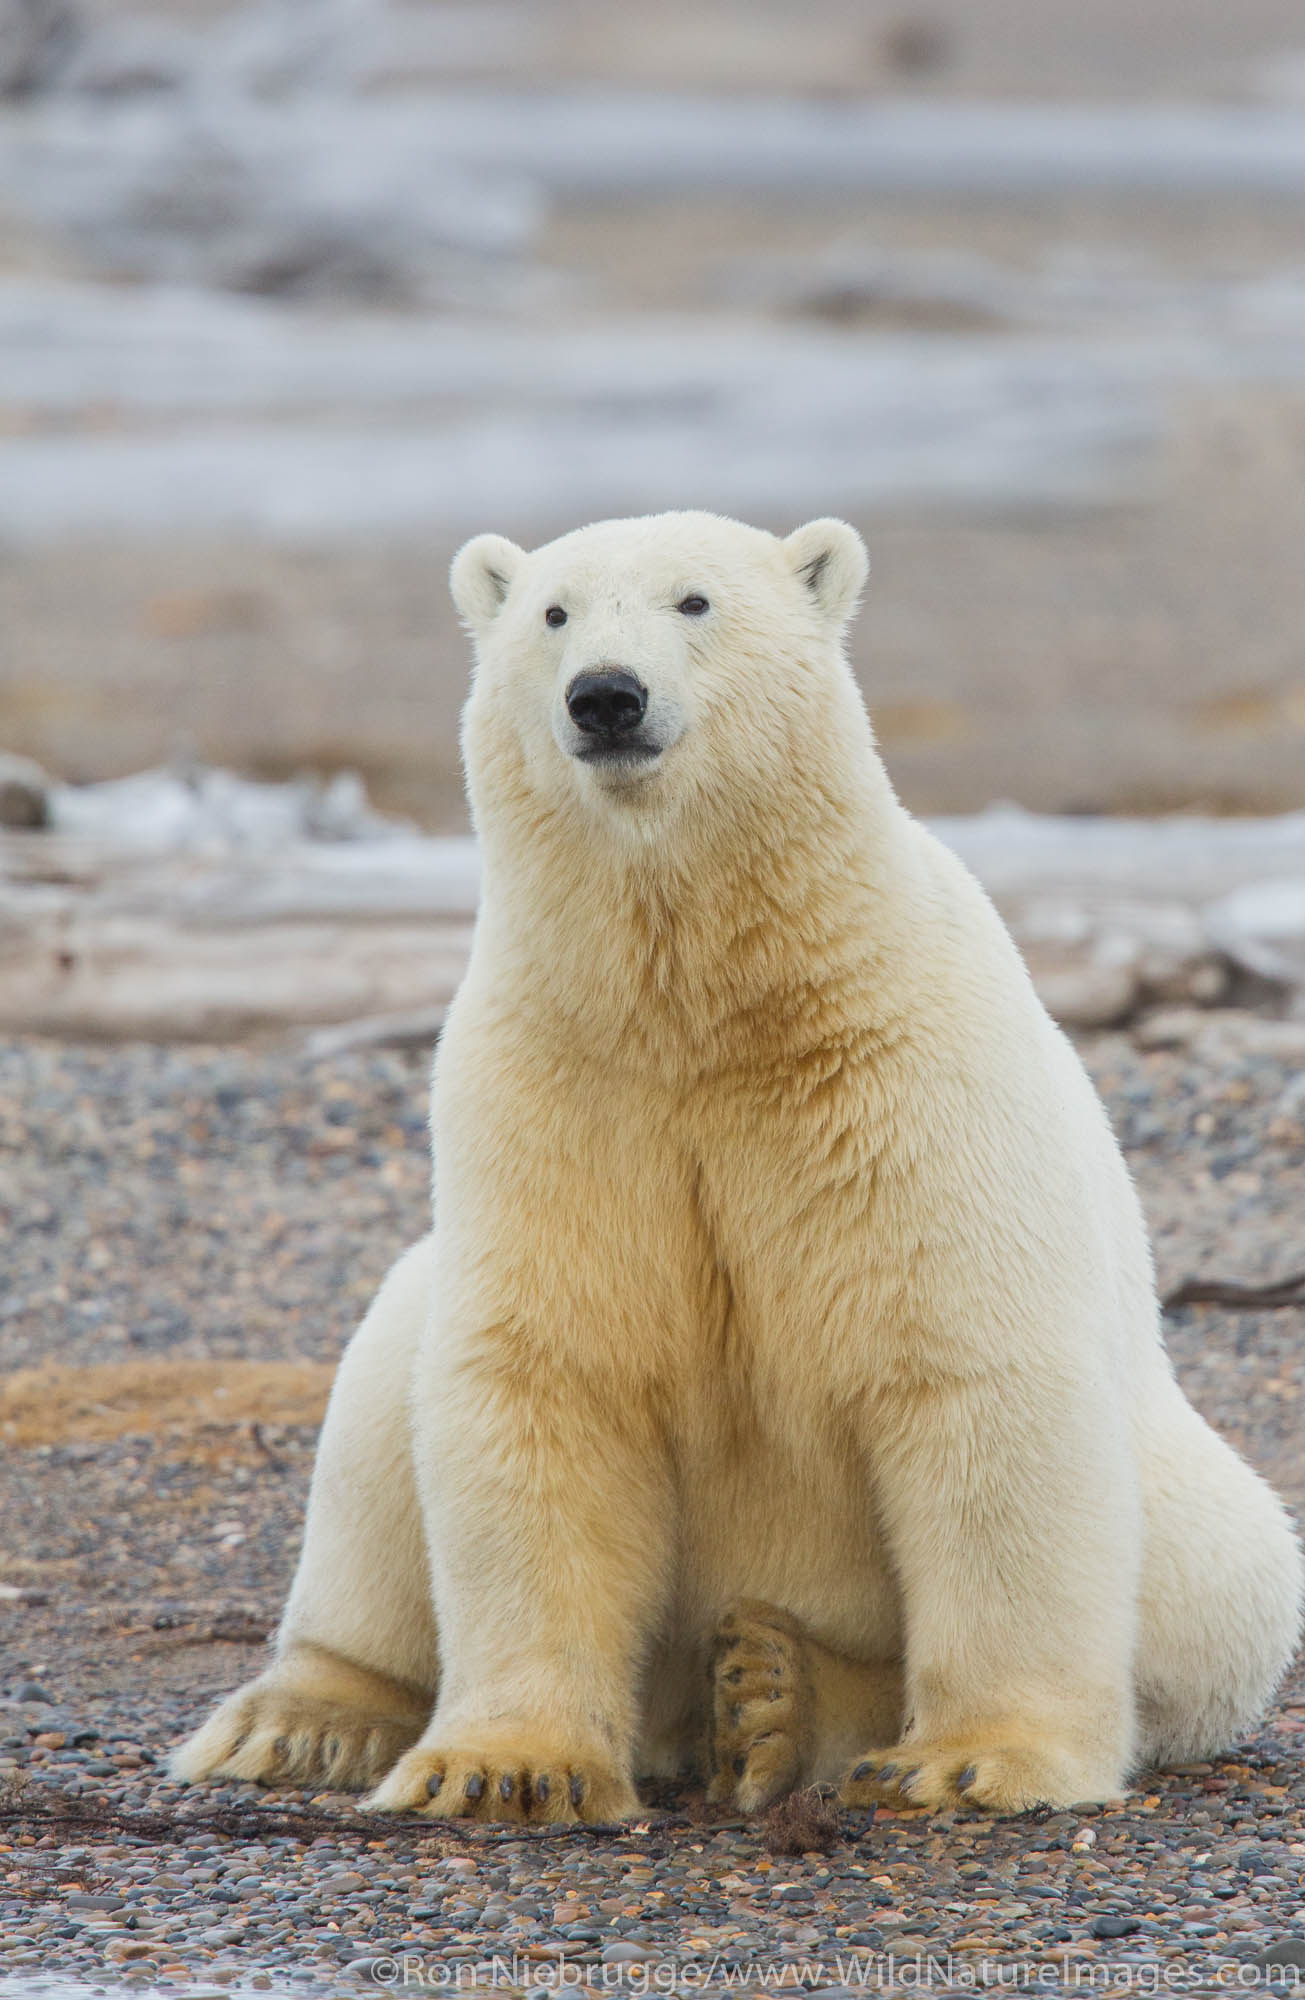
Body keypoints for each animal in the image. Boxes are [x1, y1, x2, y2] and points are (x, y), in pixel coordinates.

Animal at [173, 508, 1305, 1824]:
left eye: (694, 600)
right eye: (554, 613)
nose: (606, 696)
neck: (708, 1012)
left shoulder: (903, 1085)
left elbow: (972, 1378)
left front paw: (974, 1757)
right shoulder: (560, 1091)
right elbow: (549, 1374)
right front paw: (502, 1766)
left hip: (1194, 1512)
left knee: (1227, 1576)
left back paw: (777, 1690)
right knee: (379, 1398)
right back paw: (304, 1719)